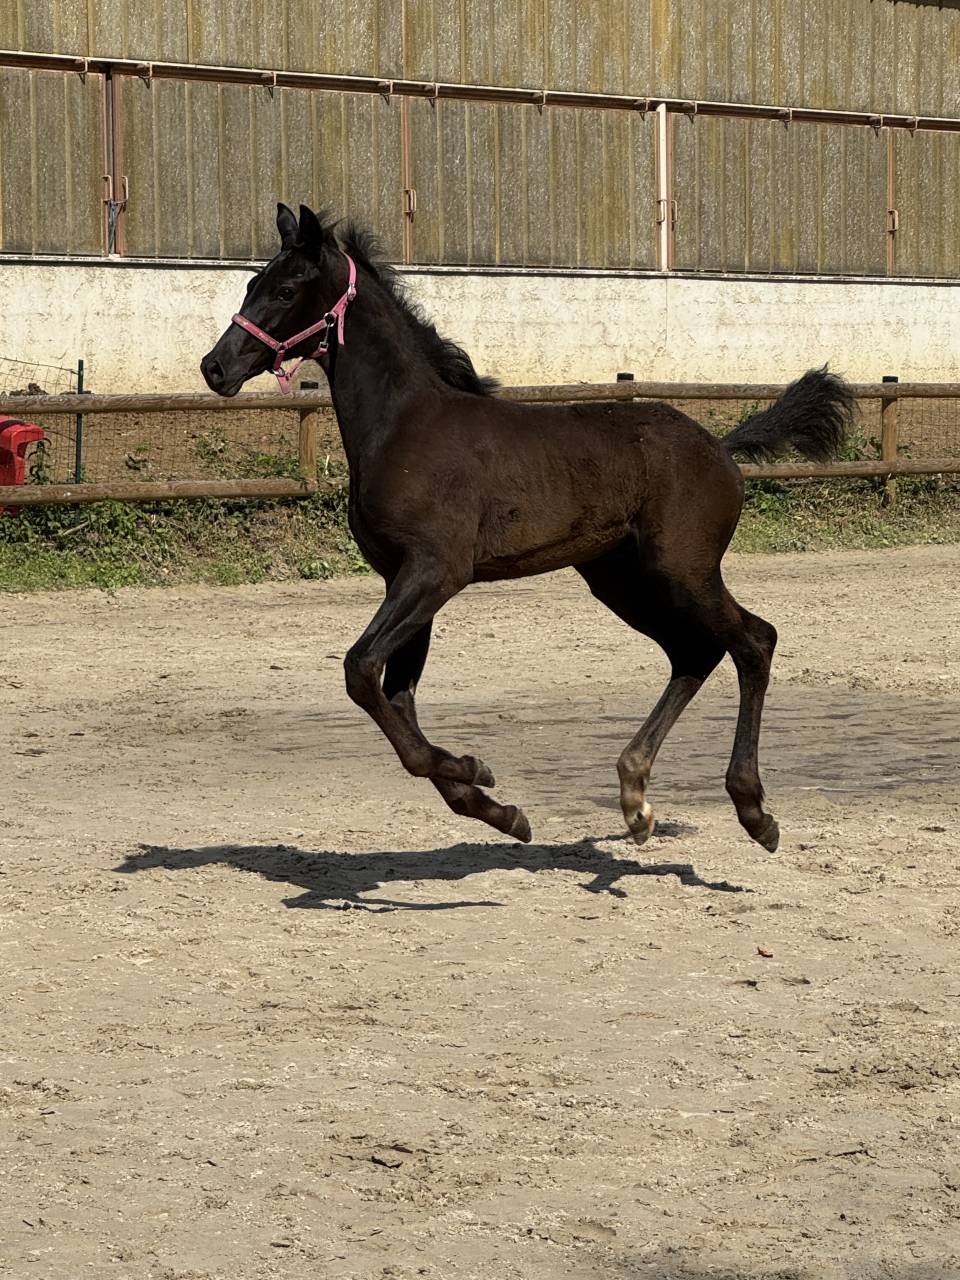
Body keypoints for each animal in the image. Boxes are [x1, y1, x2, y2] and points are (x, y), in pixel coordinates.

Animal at [201, 203, 853, 852]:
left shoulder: (437, 572)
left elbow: (362, 672)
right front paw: (495, 806)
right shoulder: (402, 578)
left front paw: (475, 769)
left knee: (754, 641)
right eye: (251, 284)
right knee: (693, 652)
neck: (404, 425)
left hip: (683, 571)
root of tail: (721, 447)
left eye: (286, 289)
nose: (215, 367)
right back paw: (636, 799)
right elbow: (398, 697)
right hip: (621, 580)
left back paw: (753, 810)